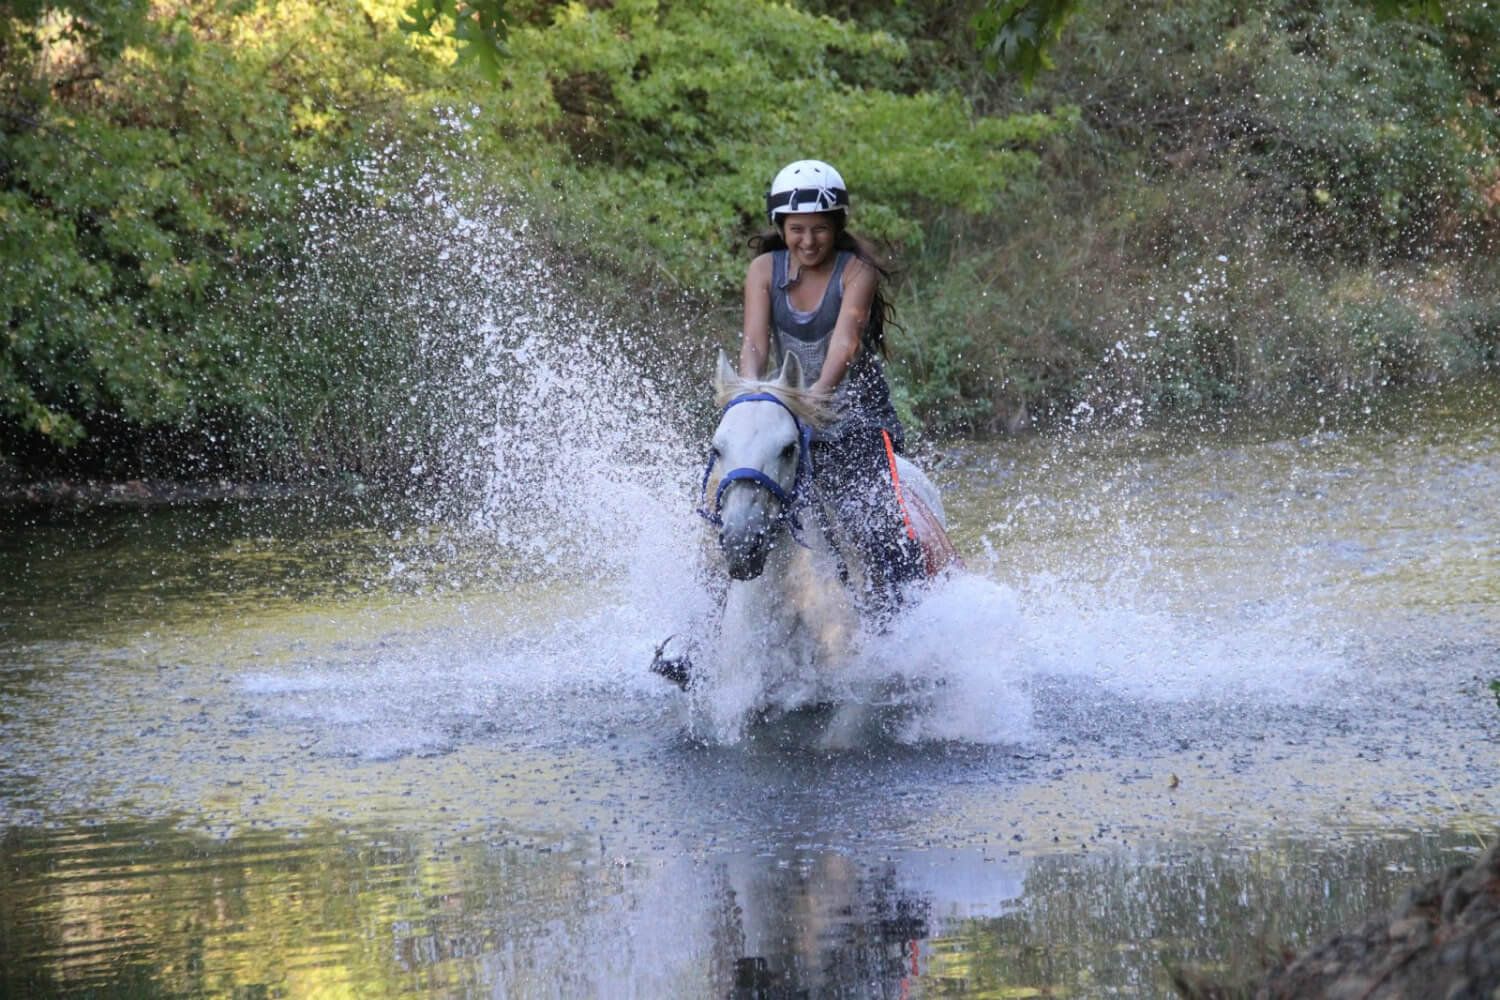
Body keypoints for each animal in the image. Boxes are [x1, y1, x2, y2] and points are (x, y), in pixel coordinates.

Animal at [654, 352, 960, 734]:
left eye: (788, 449)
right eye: (717, 448)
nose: (742, 544)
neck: (790, 591)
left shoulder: (853, 696)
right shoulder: (743, 698)